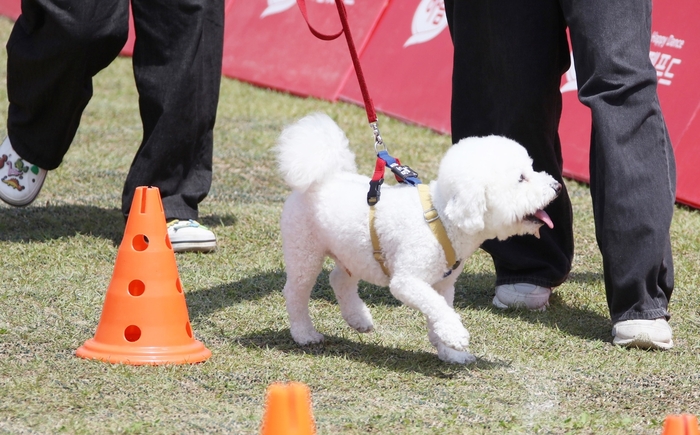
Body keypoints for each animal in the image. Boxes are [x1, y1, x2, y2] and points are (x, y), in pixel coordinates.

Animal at [276, 113, 560, 364]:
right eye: (521, 178)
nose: (557, 186)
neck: (443, 219)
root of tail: (322, 178)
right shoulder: (407, 281)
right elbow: (438, 308)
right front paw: (455, 336)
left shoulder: (443, 284)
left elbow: (440, 309)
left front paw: (450, 353)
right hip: (305, 252)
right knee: (295, 292)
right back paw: (304, 333)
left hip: (353, 252)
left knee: (339, 280)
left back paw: (359, 319)